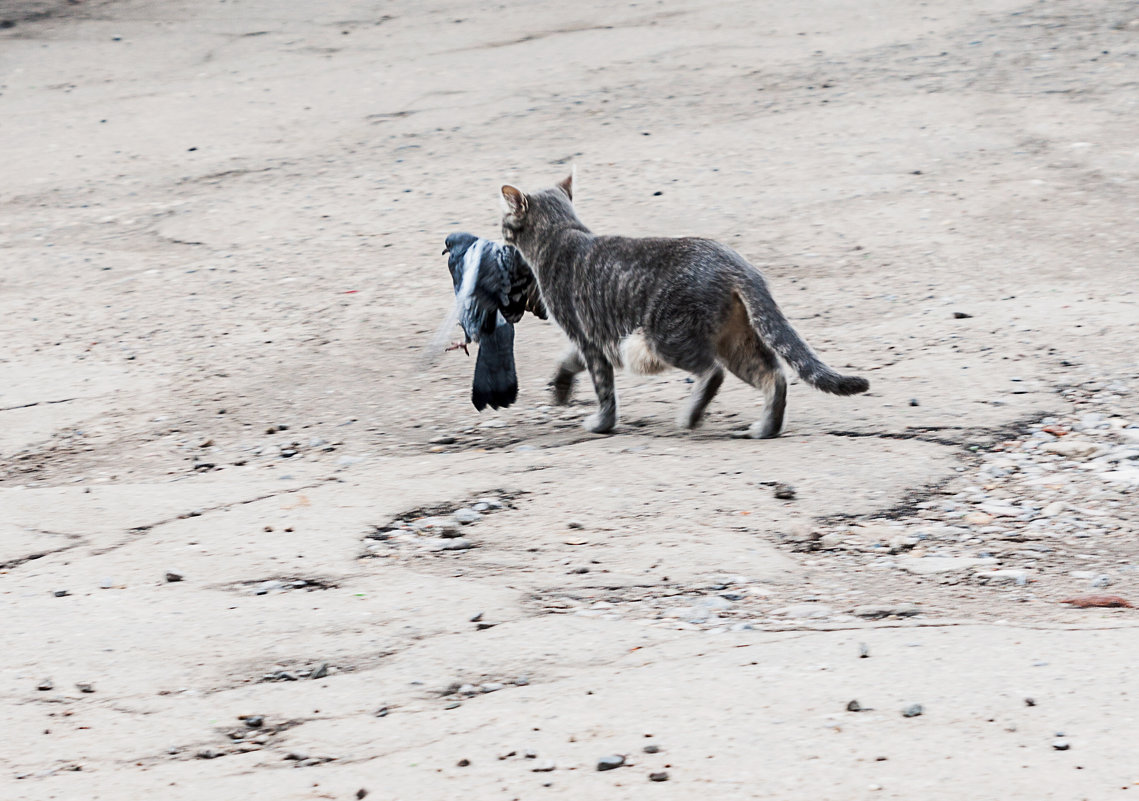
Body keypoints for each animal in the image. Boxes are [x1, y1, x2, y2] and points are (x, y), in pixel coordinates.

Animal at [501, 172, 870, 437]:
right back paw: (765, 428)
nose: (500, 228)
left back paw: (691, 417)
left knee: (713, 372)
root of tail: (738, 264)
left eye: (505, 217)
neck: (563, 232)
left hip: (667, 337)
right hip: (736, 341)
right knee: (774, 376)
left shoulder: (586, 336)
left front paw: (601, 423)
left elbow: (603, 388)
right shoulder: (596, 339)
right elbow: (567, 361)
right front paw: (561, 390)